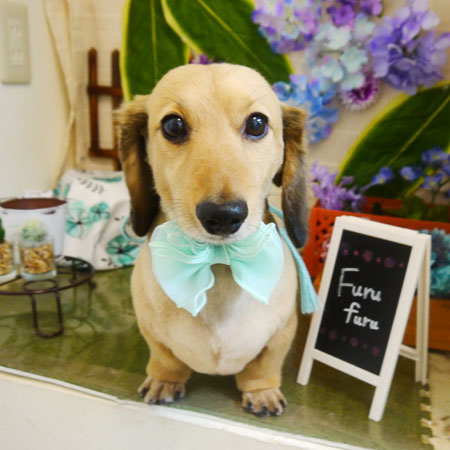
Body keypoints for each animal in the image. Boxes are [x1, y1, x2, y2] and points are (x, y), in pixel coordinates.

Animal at [117, 63, 309, 417]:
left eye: (257, 123)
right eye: (174, 125)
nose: (223, 216)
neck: (219, 263)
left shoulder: (281, 333)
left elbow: (264, 367)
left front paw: (261, 392)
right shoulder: (151, 332)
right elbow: (165, 358)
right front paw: (165, 381)